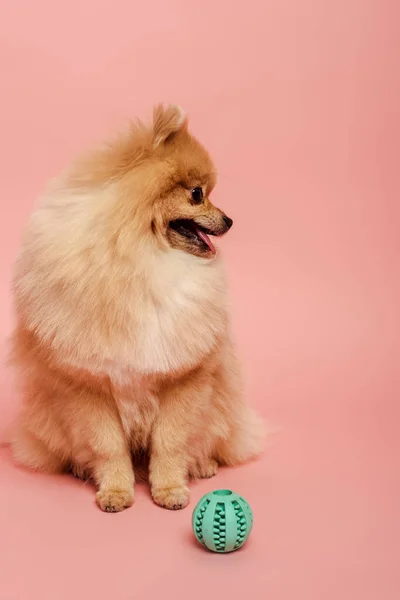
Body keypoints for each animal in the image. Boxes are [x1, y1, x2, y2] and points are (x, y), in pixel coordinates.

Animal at [9, 103, 264, 510]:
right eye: (197, 194)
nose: (229, 220)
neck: (140, 259)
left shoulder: (185, 378)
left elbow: (171, 441)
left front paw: (170, 489)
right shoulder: (88, 384)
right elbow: (108, 445)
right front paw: (115, 491)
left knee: (210, 440)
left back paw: (203, 465)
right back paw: (80, 469)